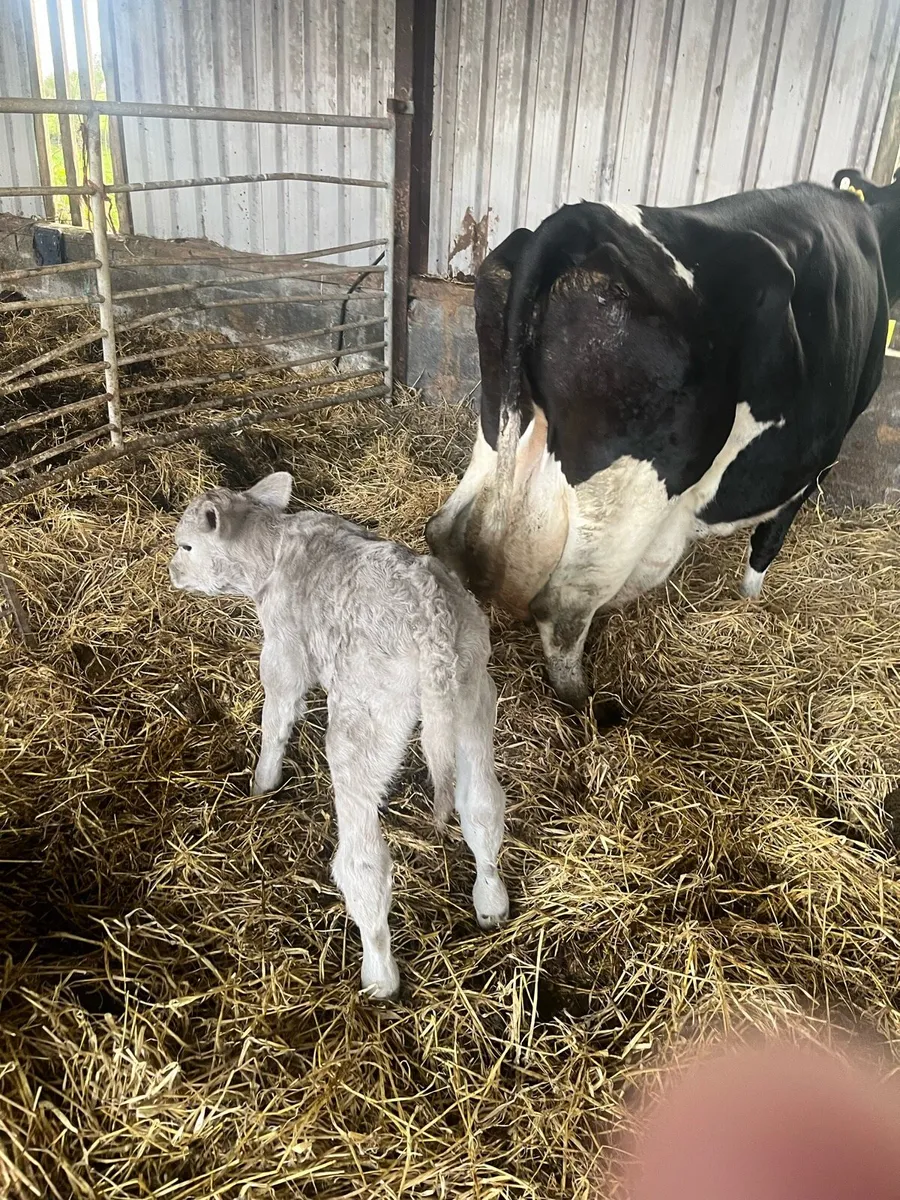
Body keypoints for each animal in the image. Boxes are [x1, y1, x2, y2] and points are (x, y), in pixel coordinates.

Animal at [169, 472, 509, 1000]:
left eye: (186, 545)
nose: (171, 572)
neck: (274, 550)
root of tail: (430, 619)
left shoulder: (283, 650)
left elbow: (277, 714)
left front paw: (262, 783)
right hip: (474, 698)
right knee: (483, 806)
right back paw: (490, 899)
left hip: (361, 725)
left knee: (364, 862)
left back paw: (379, 974)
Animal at [426, 169, 900, 711]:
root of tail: (580, 220)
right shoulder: (814, 466)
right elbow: (767, 544)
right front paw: (750, 600)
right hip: (633, 495)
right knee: (564, 607)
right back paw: (589, 704)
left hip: (498, 432)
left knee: (444, 530)